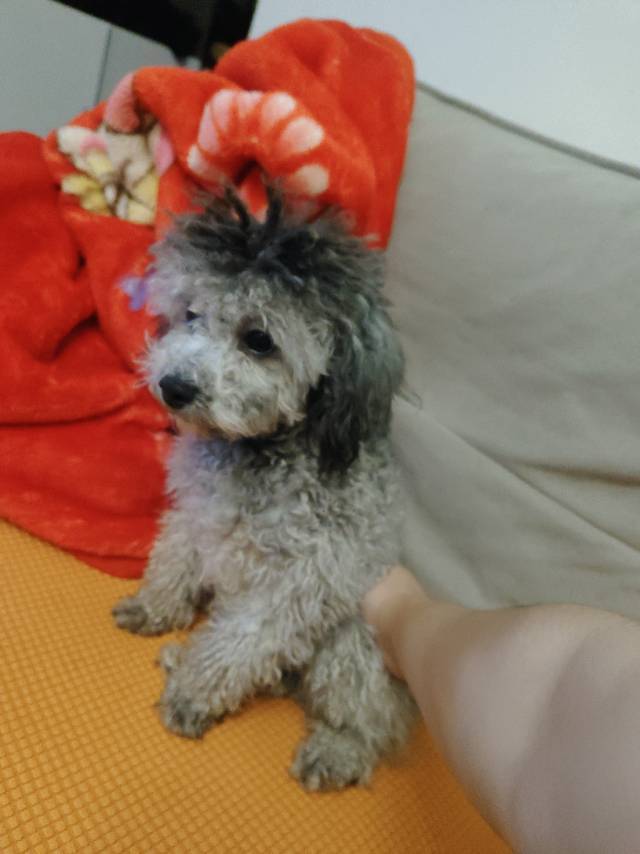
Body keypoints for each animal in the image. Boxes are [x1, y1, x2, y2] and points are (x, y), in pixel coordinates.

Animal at [113, 190, 416, 790]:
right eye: (190, 313)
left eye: (258, 340)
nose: (172, 387)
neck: (255, 449)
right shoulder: (197, 515)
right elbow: (173, 562)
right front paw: (155, 610)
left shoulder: (304, 581)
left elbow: (240, 643)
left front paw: (191, 697)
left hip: (352, 647)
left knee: (372, 722)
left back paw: (338, 752)